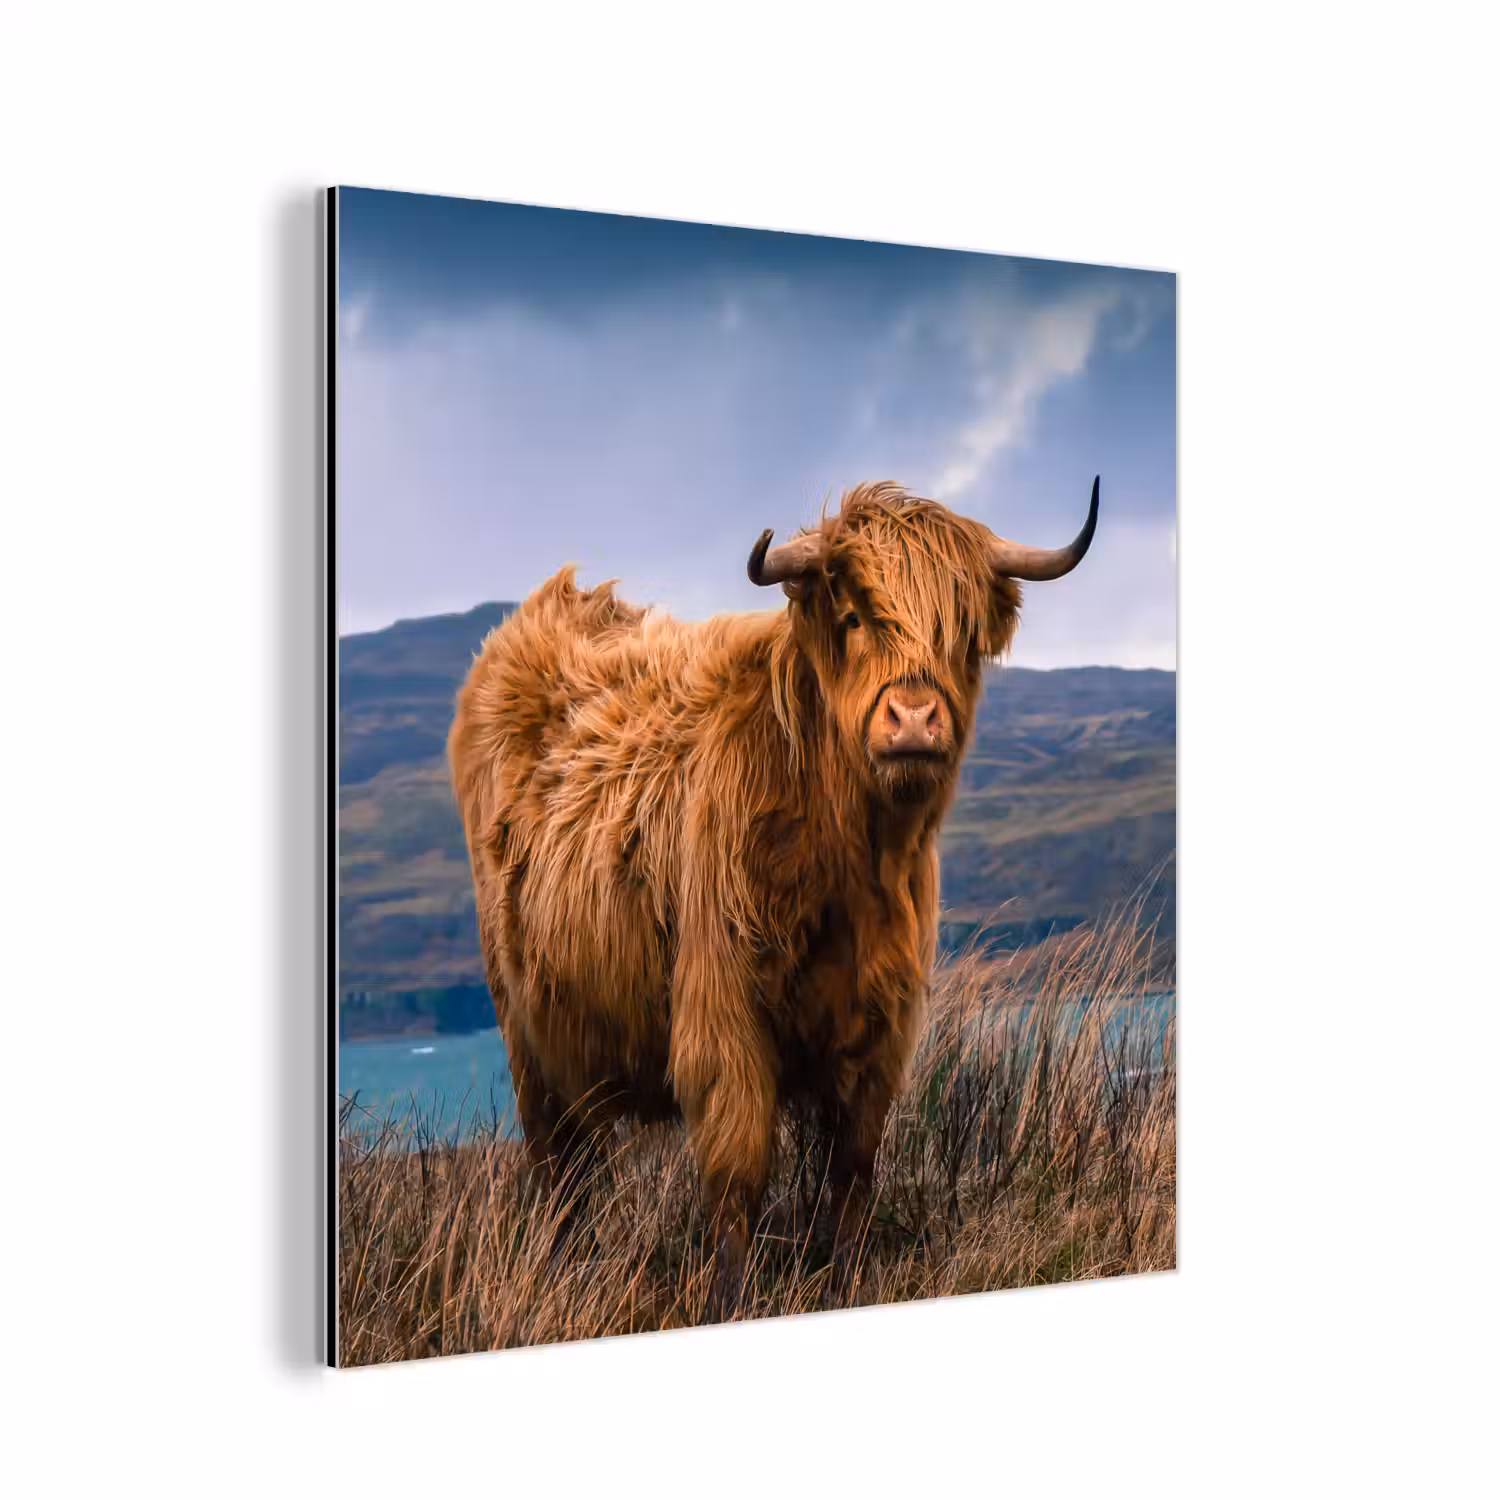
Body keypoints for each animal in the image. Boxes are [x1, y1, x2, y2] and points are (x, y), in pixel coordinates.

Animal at [448, 477, 1099, 1313]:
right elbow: (738, 1171)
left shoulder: (880, 1026)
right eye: (854, 616)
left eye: (959, 632)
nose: (915, 719)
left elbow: (851, 1170)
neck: (849, 861)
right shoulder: (723, 1015)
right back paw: (564, 1268)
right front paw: (731, 1296)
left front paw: (845, 1277)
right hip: (524, 1030)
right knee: (558, 1166)